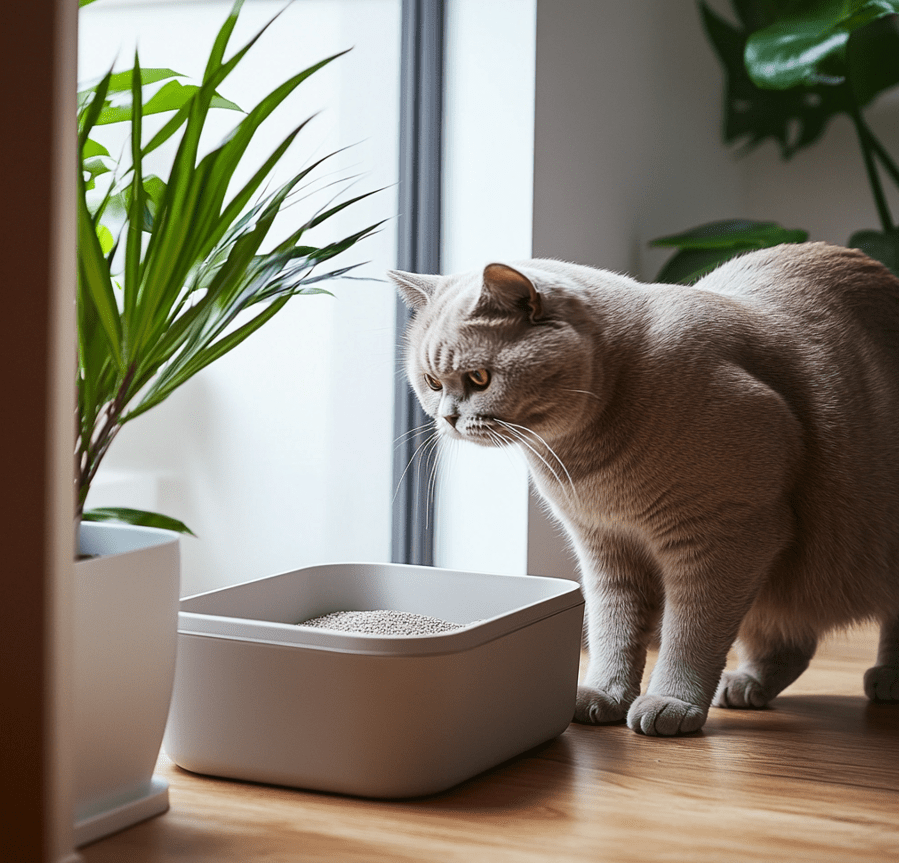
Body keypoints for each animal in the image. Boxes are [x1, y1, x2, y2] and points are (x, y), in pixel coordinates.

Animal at [390, 243, 899, 736]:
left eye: (479, 379)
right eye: (432, 382)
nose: (448, 417)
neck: (587, 463)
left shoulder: (725, 541)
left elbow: (690, 635)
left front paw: (672, 702)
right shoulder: (606, 548)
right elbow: (613, 630)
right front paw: (604, 694)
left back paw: (888, 681)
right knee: (791, 640)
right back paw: (746, 685)